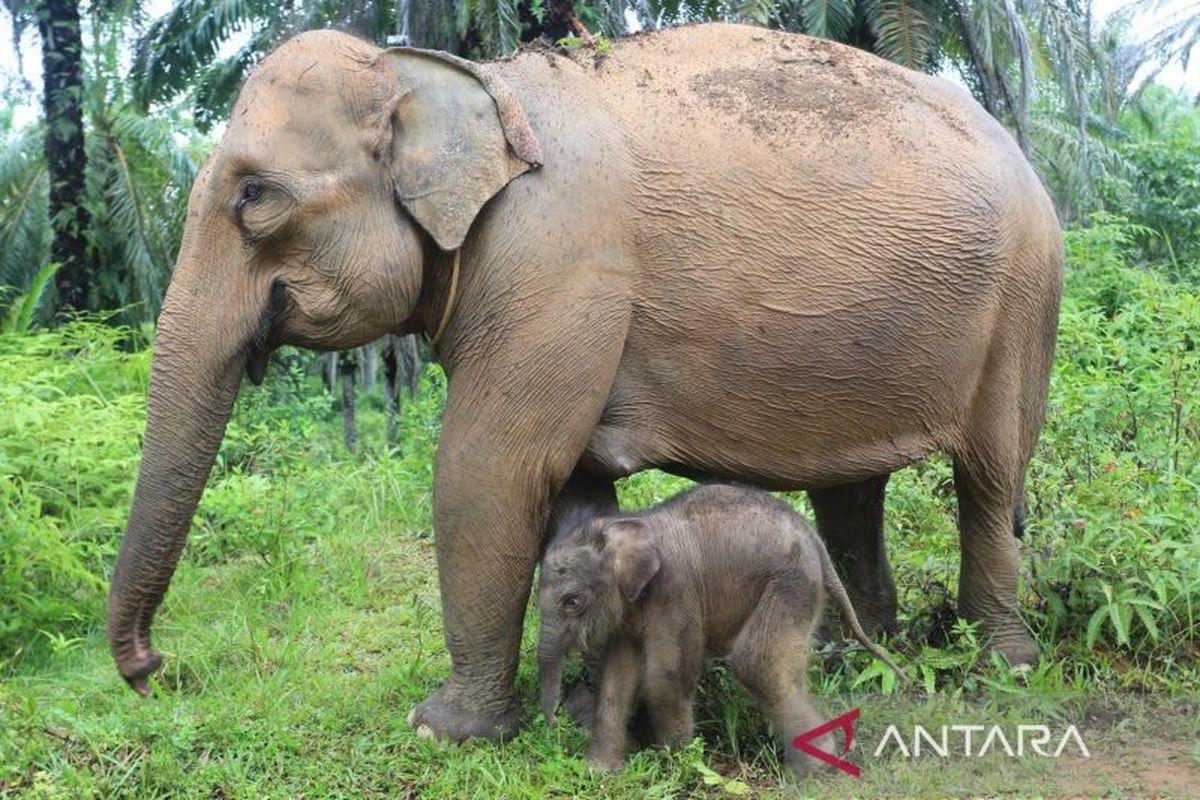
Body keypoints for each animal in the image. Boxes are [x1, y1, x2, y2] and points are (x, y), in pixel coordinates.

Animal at [103, 23, 1060, 743]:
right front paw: (578, 706)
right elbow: (572, 489)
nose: (154, 671)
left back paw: (1001, 666)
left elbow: (490, 468)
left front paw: (445, 730)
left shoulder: (556, 262)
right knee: (851, 490)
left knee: (986, 480)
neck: (456, 83)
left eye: (254, 197)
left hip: (1020, 302)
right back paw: (852, 659)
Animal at [540, 482, 902, 777]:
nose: (555, 725)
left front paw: (677, 764)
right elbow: (617, 677)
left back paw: (814, 765)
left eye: (572, 602)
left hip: (792, 583)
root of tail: (814, 539)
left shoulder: (674, 592)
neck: (627, 527)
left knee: (757, 663)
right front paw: (598, 771)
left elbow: (665, 676)